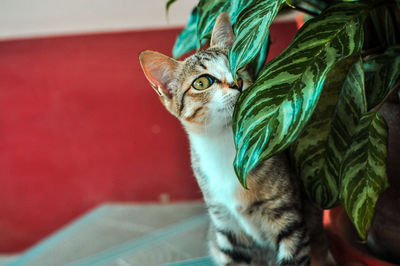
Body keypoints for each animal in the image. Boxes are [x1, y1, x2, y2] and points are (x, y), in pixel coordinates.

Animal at [139, 11, 332, 266]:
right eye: (202, 82)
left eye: (238, 65)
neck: (226, 146)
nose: (236, 83)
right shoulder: (225, 224)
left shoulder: (288, 218)